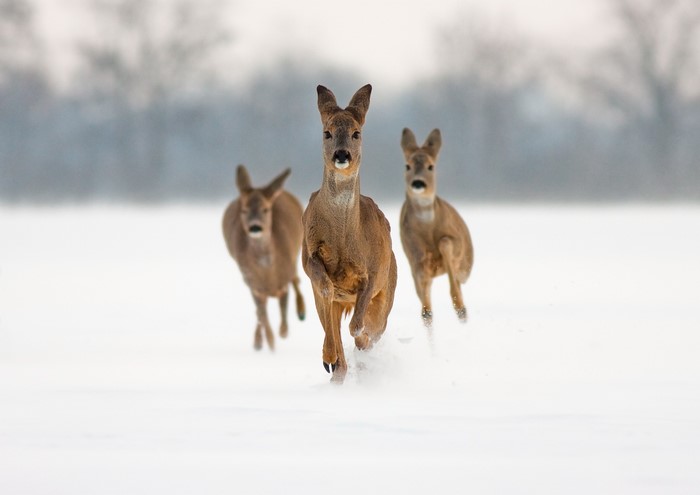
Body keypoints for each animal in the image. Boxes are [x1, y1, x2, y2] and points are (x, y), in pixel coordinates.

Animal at [222, 165, 306, 351]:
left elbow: (283, 314)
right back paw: (258, 342)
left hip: (297, 251)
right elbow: (263, 318)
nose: (255, 227)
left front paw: (283, 332)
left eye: (266, 209)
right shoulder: (254, 285)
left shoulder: (283, 280)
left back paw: (301, 311)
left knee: (296, 278)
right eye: (244, 210)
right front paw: (270, 344)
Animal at [302, 84, 397, 384]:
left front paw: (361, 341)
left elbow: (357, 325)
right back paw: (333, 364)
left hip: (388, 290)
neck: (344, 239)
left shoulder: (374, 271)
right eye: (327, 132)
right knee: (333, 329)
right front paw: (330, 358)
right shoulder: (308, 255)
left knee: (371, 328)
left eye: (357, 133)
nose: (342, 155)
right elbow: (323, 285)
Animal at [399, 128, 473, 328]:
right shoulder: (414, 258)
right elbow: (426, 309)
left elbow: (445, 242)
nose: (418, 183)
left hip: (465, 266)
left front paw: (459, 306)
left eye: (430, 166)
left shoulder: (456, 243)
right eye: (407, 166)